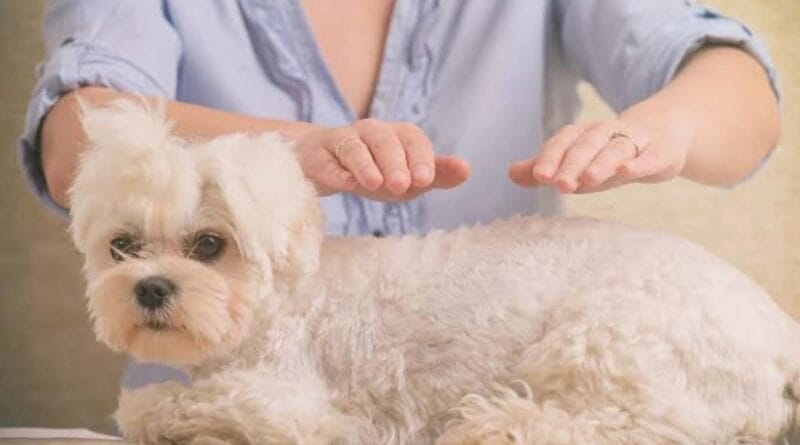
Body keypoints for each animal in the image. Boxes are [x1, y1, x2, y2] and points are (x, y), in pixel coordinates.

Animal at [67, 99, 800, 445]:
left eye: (209, 244)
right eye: (122, 246)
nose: (151, 286)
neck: (286, 300)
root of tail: (779, 334)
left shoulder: (287, 402)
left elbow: (153, 404)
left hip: (604, 340)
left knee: (643, 428)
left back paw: (500, 424)